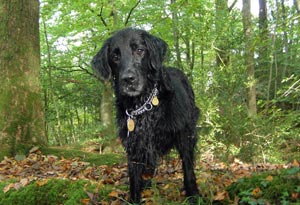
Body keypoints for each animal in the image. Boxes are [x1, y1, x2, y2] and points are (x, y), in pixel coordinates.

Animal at [91, 27, 199, 203]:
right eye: (115, 57)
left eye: (140, 50)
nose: (128, 79)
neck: (144, 107)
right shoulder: (134, 145)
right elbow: (134, 180)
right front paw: (135, 198)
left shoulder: (184, 135)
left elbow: (188, 168)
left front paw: (194, 195)